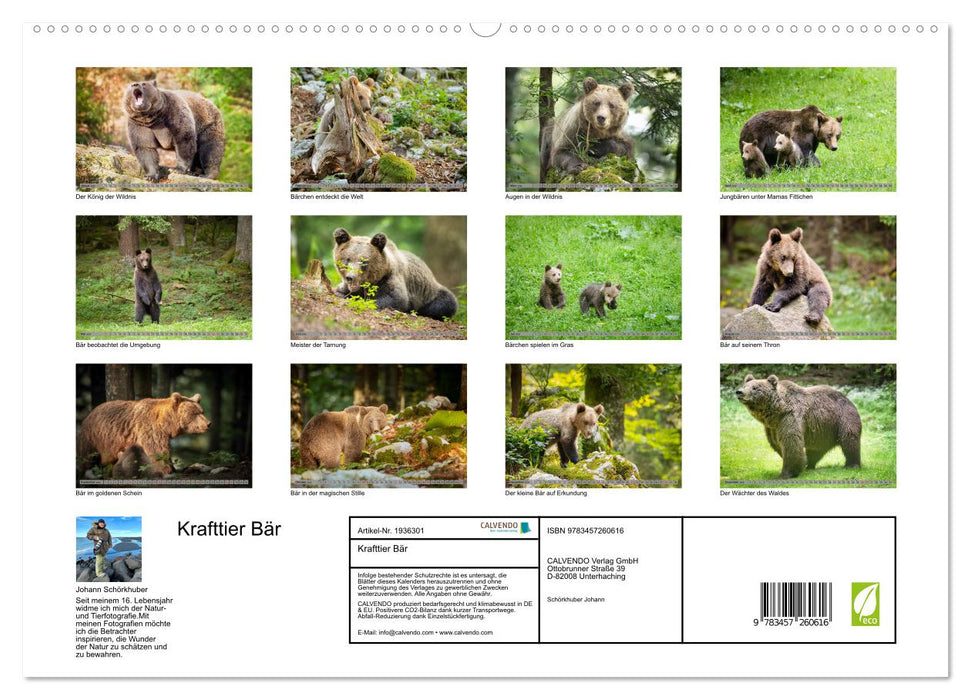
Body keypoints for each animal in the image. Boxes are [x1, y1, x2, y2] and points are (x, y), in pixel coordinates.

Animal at [76, 392, 211, 485]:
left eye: (202, 411)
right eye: (195, 413)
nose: (208, 423)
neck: (165, 424)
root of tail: (90, 413)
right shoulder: (150, 430)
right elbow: (158, 453)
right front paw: (165, 470)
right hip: (95, 437)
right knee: (86, 457)